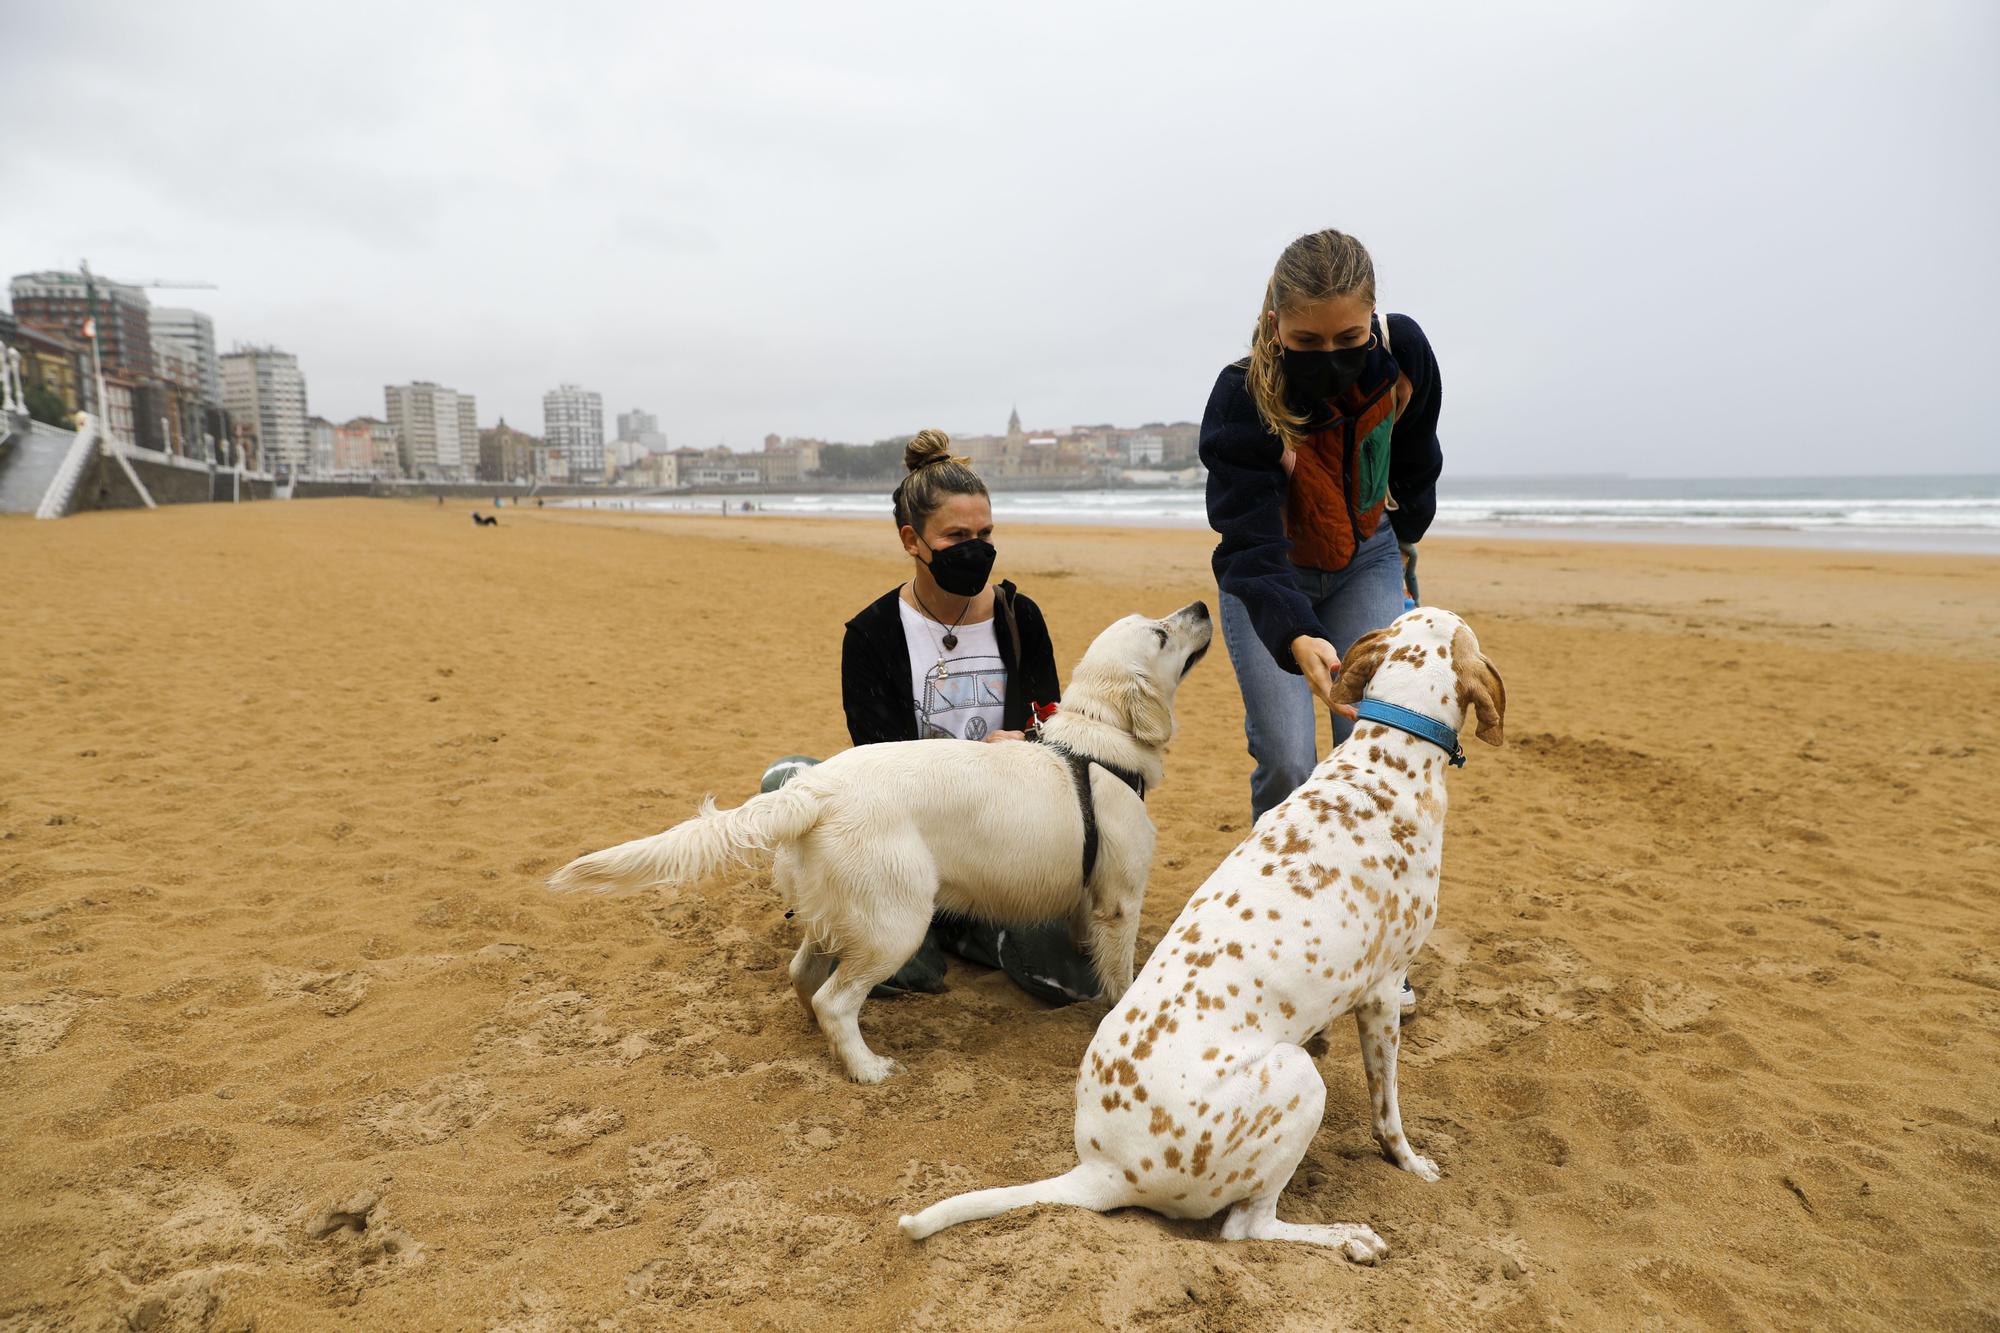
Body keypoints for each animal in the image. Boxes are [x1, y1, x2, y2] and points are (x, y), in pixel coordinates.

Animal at [540, 600, 1208, 1080]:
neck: (1098, 740)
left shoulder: (1091, 897)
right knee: (835, 1000)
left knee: (804, 976)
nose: (1202, 604)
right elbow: (1121, 978)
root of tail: (814, 789)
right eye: (1160, 634)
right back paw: (868, 1069)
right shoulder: (1120, 900)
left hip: (836, 912)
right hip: (896, 919)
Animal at [904, 608, 1504, 1256]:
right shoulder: (1384, 993)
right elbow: (1388, 1109)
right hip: (1298, 1078)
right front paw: (1409, 1161)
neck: (1383, 762)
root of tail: (1103, 1171)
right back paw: (1348, 1236)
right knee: (1248, 1226)